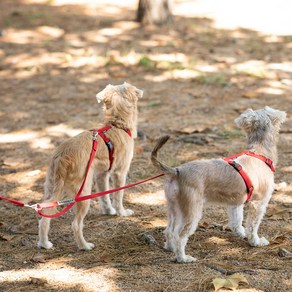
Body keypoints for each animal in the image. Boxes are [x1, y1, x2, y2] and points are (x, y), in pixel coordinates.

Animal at [38, 82, 143, 251]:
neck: (116, 123)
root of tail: (63, 156)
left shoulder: (101, 174)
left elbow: (105, 196)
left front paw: (109, 211)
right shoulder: (120, 173)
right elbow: (118, 196)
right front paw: (121, 212)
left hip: (51, 187)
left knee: (44, 216)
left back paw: (44, 243)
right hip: (83, 193)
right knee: (75, 224)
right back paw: (84, 246)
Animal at [152, 106, 286, 262]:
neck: (258, 152)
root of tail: (176, 171)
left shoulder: (235, 203)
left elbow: (236, 222)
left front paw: (242, 233)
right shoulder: (258, 203)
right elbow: (253, 226)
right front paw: (256, 241)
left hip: (174, 208)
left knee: (169, 231)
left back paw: (170, 248)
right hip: (191, 210)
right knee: (180, 235)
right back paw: (183, 258)